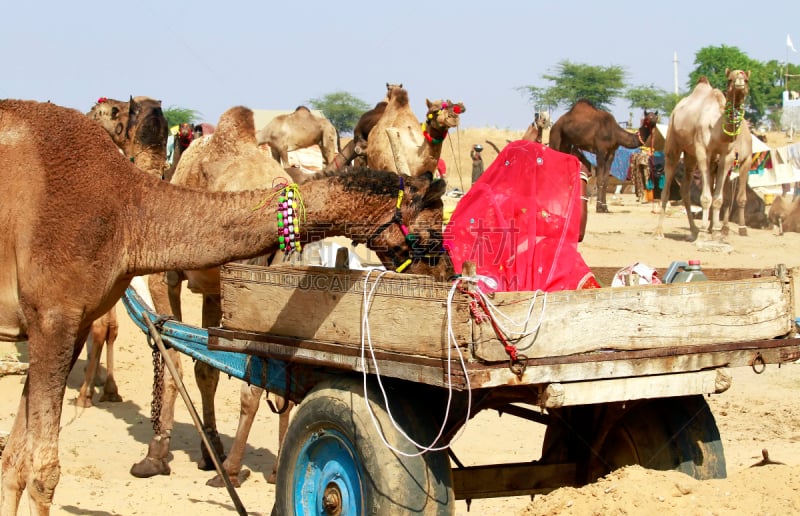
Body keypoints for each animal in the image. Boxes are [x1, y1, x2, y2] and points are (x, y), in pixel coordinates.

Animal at [0, 99, 450, 512]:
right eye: (431, 231)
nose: (448, 274)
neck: (132, 214)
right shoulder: (58, 318)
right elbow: (22, 461)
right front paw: (190, 452)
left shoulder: (78, 313)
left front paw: (163, 455)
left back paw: (236, 470)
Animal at [652, 69, 752, 244]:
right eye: (730, 79)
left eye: (746, 79)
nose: (739, 83)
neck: (717, 129)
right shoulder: (702, 151)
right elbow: (706, 197)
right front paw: (706, 233)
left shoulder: (726, 156)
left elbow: (718, 198)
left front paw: (716, 233)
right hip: (673, 144)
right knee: (667, 187)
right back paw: (659, 232)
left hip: (690, 156)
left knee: (685, 190)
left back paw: (693, 231)